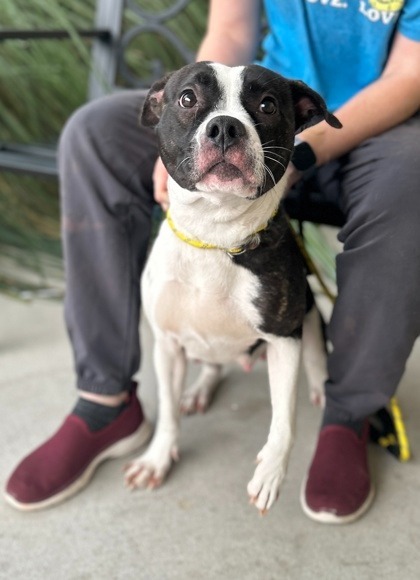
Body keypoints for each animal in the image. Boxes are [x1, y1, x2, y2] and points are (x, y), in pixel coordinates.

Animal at [124, 63, 342, 516]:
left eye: (268, 104)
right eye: (187, 98)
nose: (225, 127)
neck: (215, 234)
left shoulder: (283, 338)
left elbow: (284, 417)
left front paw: (271, 472)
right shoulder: (166, 344)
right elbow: (167, 411)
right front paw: (157, 459)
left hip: (309, 311)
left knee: (316, 351)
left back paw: (318, 386)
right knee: (210, 364)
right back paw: (200, 390)